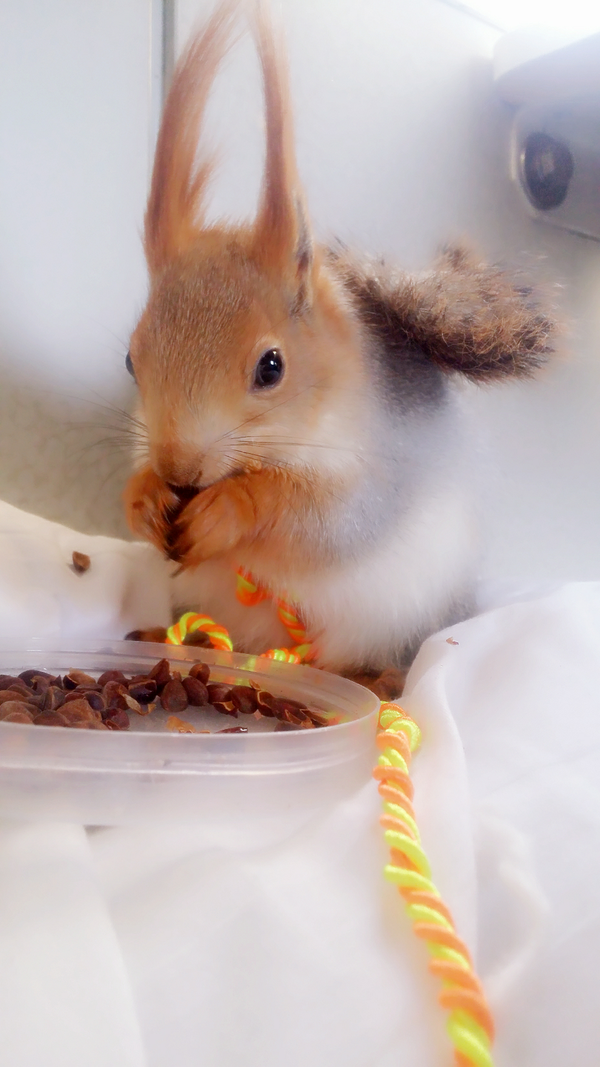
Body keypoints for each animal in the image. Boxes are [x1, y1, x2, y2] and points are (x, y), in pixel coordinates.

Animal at [120, 2, 550, 682]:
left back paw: (373, 677)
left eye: (272, 367)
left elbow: (322, 520)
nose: (179, 469)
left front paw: (230, 508)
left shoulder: (382, 469)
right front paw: (144, 498)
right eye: (130, 359)